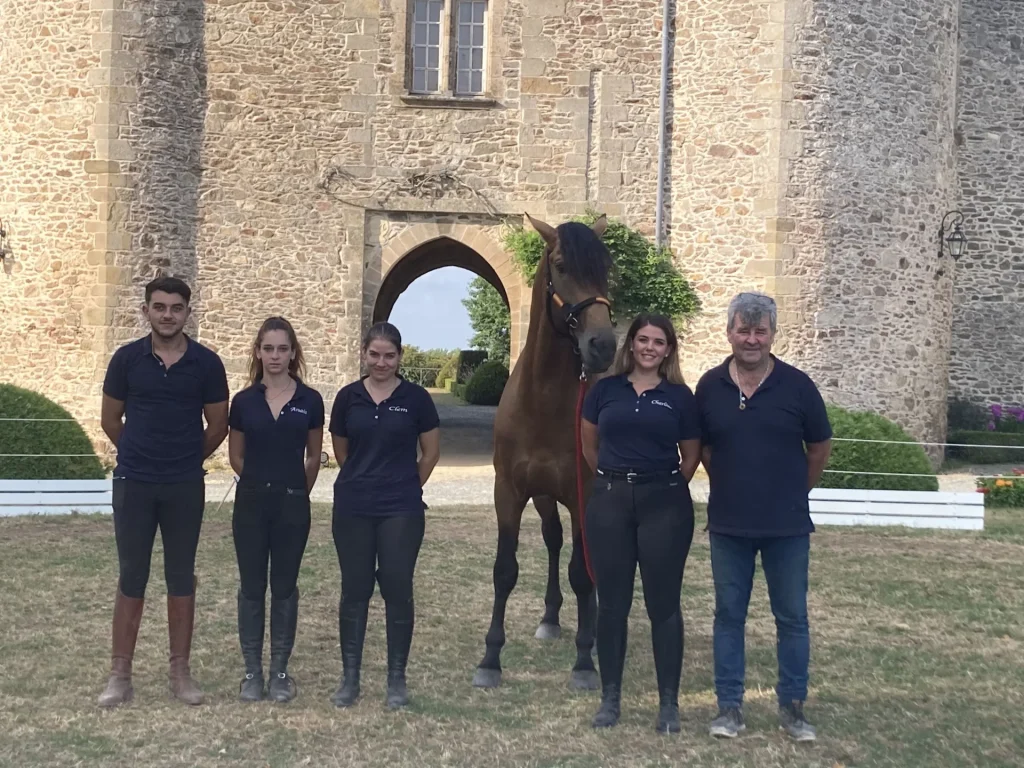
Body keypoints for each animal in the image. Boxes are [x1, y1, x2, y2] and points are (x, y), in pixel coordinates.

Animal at [471, 211, 614, 692]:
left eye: (607, 268)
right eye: (561, 265)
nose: (603, 345)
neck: (543, 401)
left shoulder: (583, 494)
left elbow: (582, 575)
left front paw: (585, 663)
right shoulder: (510, 493)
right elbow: (504, 570)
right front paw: (490, 660)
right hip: (546, 497)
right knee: (554, 541)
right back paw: (551, 618)